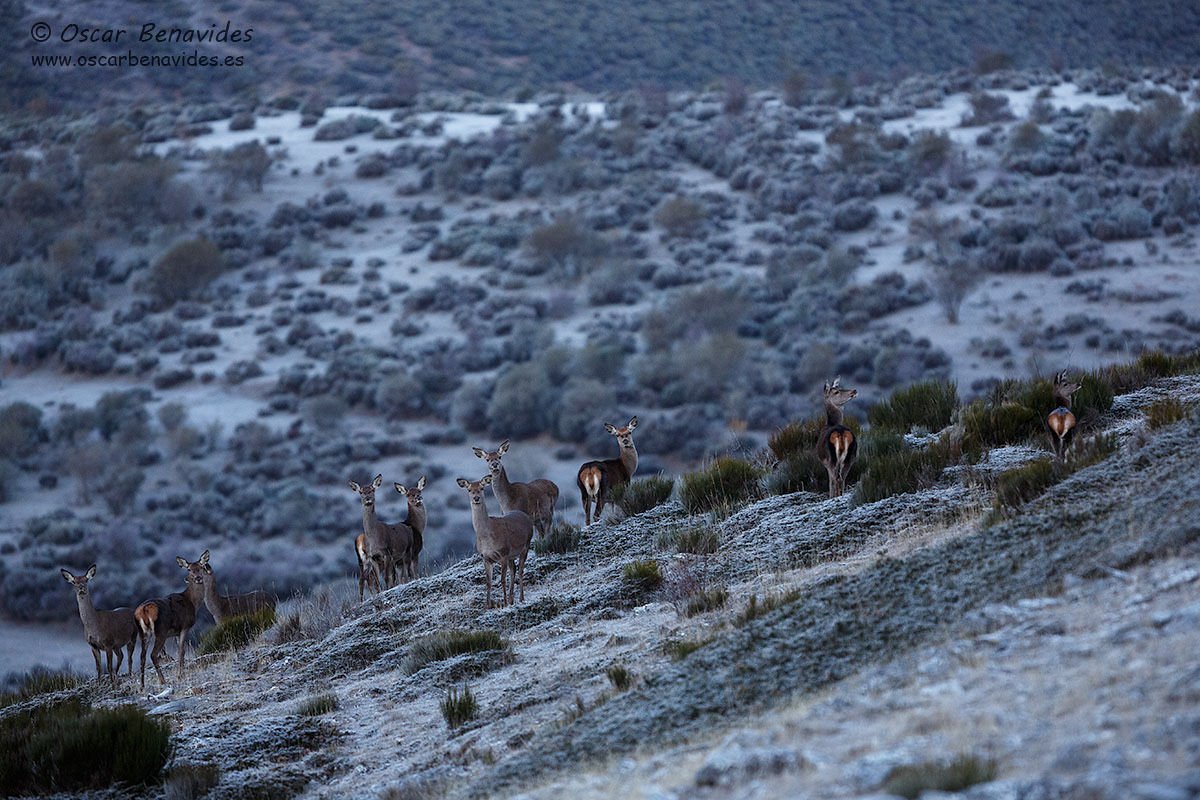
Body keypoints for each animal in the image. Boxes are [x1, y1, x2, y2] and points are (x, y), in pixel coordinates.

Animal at [134, 551, 208, 688]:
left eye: (201, 566)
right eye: (189, 569)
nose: (198, 578)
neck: (192, 602)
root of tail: (144, 610)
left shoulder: (176, 633)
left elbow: (181, 652)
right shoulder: (185, 626)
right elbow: (181, 651)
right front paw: (180, 675)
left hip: (143, 633)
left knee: (142, 656)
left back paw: (142, 686)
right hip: (161, 631)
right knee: (153, 654)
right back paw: (162, 680)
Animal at [456, 475, 533, 609]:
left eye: (482, 488)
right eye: (469, 490)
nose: (476, 498)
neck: (487, 537)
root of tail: (526, 517)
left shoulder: (503, 553)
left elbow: (502, 580)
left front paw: (505, 603)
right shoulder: (485, 557)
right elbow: (488, 582)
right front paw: (487, 605)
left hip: (526, 545)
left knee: (520, 570)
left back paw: (520, 598)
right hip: (511, 555)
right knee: (513, 569)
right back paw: (511, 599)